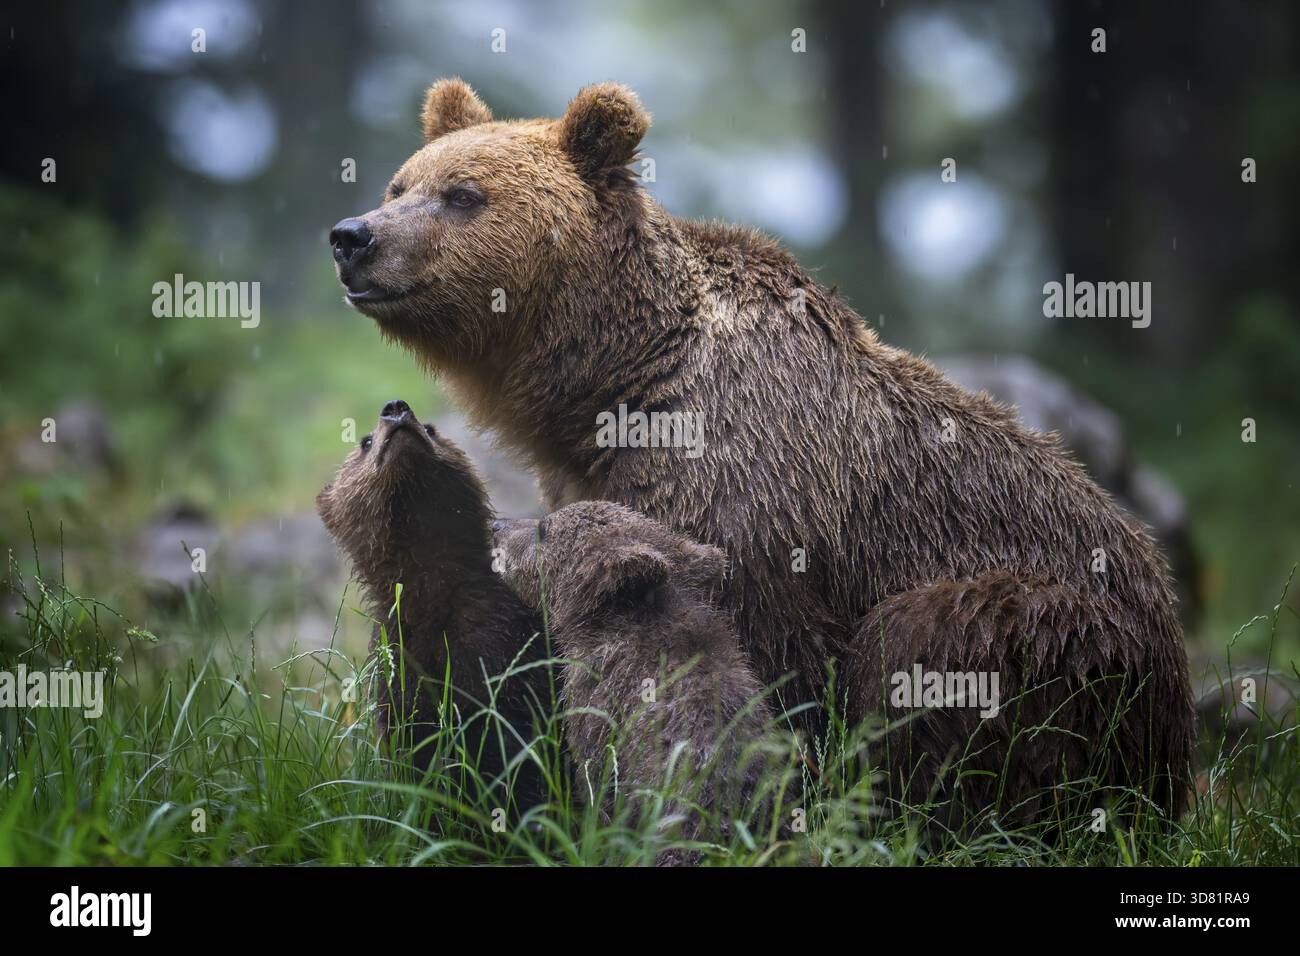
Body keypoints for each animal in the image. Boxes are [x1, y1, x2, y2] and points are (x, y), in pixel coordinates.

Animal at [316, 399, 549, 805]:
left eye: (431, 428)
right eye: (364, 441)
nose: (395, 407)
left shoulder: (500, 642)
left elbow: (514, 746)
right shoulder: (399, 663)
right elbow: (413, 748)